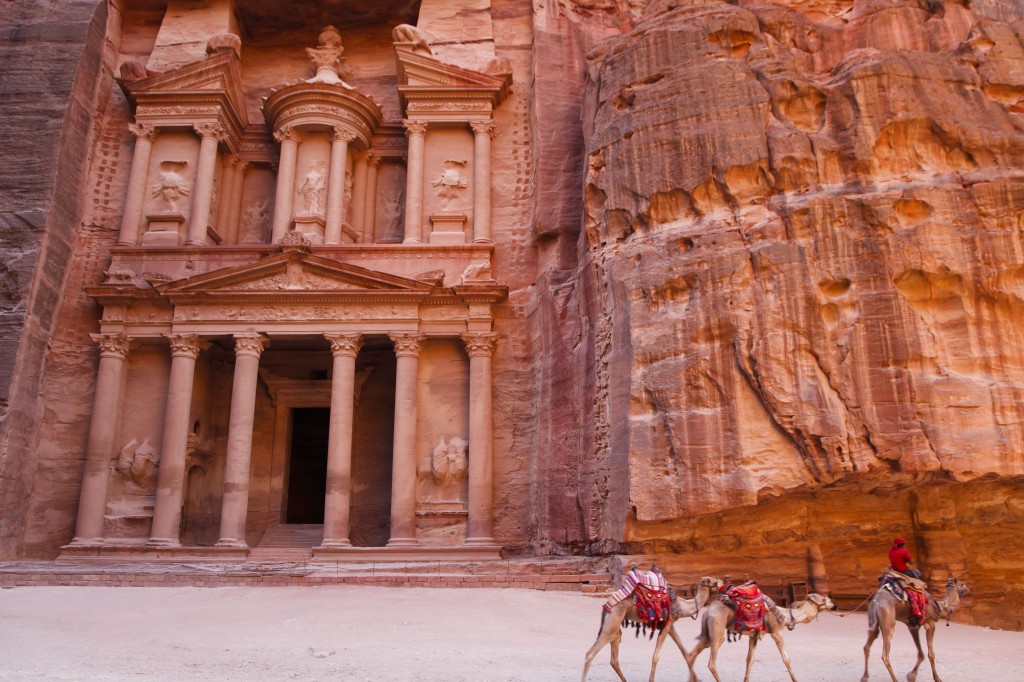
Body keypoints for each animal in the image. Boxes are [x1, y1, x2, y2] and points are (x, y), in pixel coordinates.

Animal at [581, 573, 724, 679]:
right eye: (715, 581)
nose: (723, 582)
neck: (682, 606)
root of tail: (608, 603)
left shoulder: (670, 626)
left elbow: (684, 651)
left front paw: (696, 679)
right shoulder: (666, 626)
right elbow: (656, 657)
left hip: (615, 625)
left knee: (614, 658)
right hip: (613, 619)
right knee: (591, 653)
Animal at [679, 585, 831, 675]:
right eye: (822, 599)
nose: (832, 603)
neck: (785, 616)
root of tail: (708, 610)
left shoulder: (754, 636)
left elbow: (749, 661)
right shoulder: (776, 632)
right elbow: (786, 660)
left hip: (707, 633)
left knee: (692, 654)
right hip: (717, 628)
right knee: (711, 663)